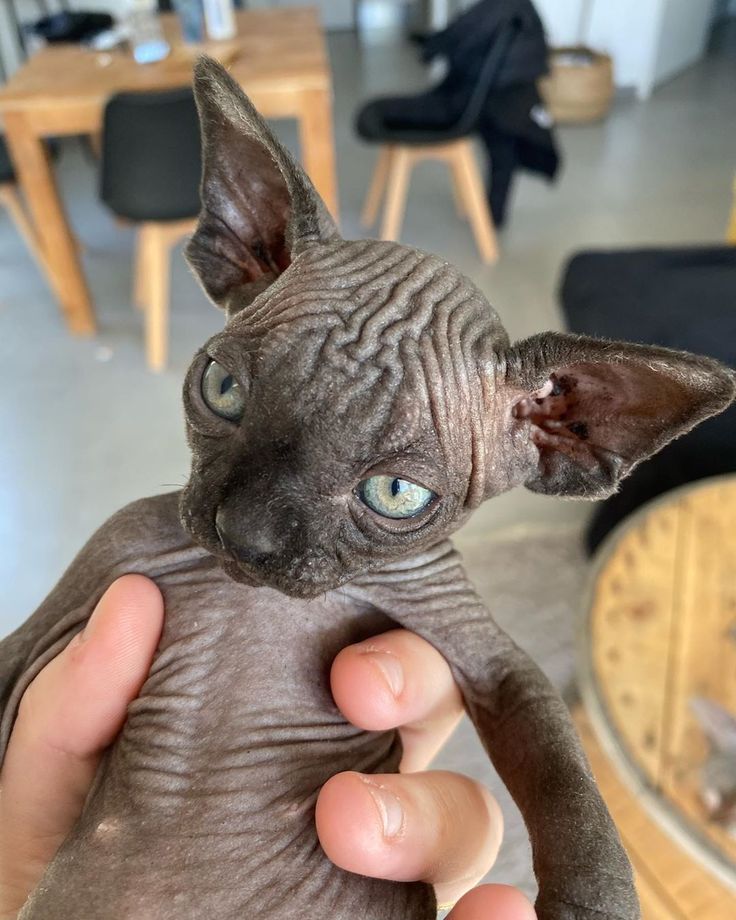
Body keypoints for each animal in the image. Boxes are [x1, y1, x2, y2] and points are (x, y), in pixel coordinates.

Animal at [1, 59, 736, 920]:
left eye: (394, 494)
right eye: (222, 389)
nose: (245, 533)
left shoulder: (493, 664)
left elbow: (569, 781)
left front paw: (596, 902)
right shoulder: (99, 571)